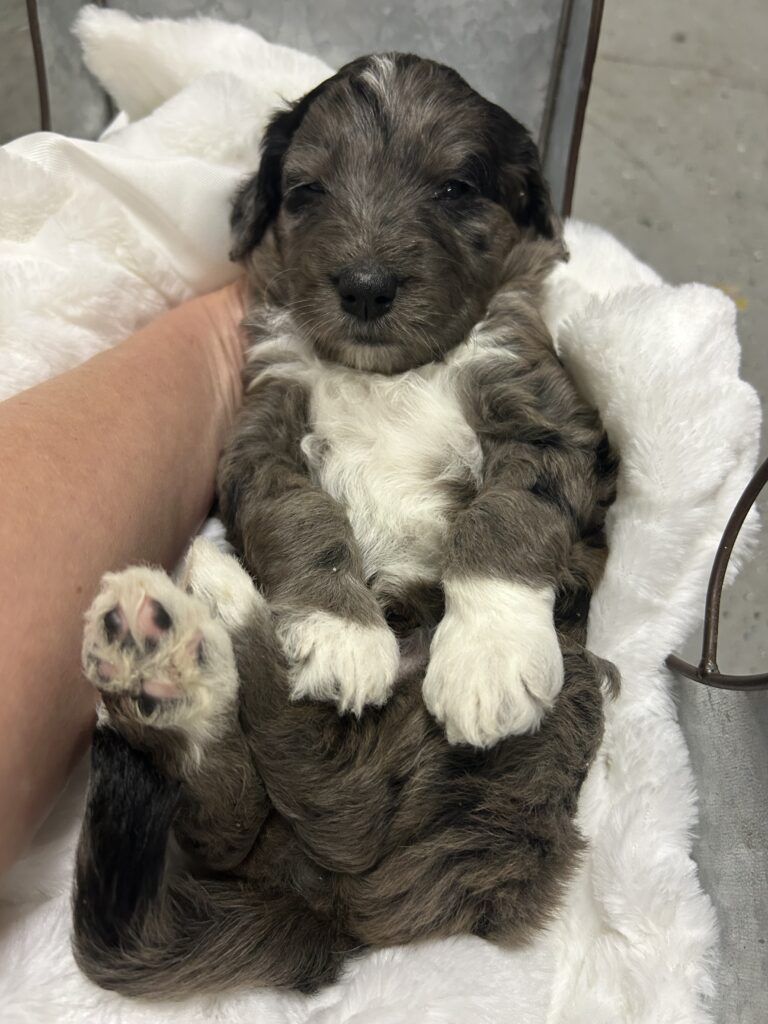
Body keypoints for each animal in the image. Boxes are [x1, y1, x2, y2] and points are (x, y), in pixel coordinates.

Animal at [72, 53, 619, 999]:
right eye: (306, 190)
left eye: (455, 187)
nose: (364, 288)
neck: (390, 372)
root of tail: (328, 913)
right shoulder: (260, 433)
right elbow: (301, 518)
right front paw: (338, 632)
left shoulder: (545, 413)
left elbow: (511, 513)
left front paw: (487, 657)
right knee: (250, 806)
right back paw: (175, 643)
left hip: (528, 738)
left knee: (326, 795)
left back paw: (191, 628)